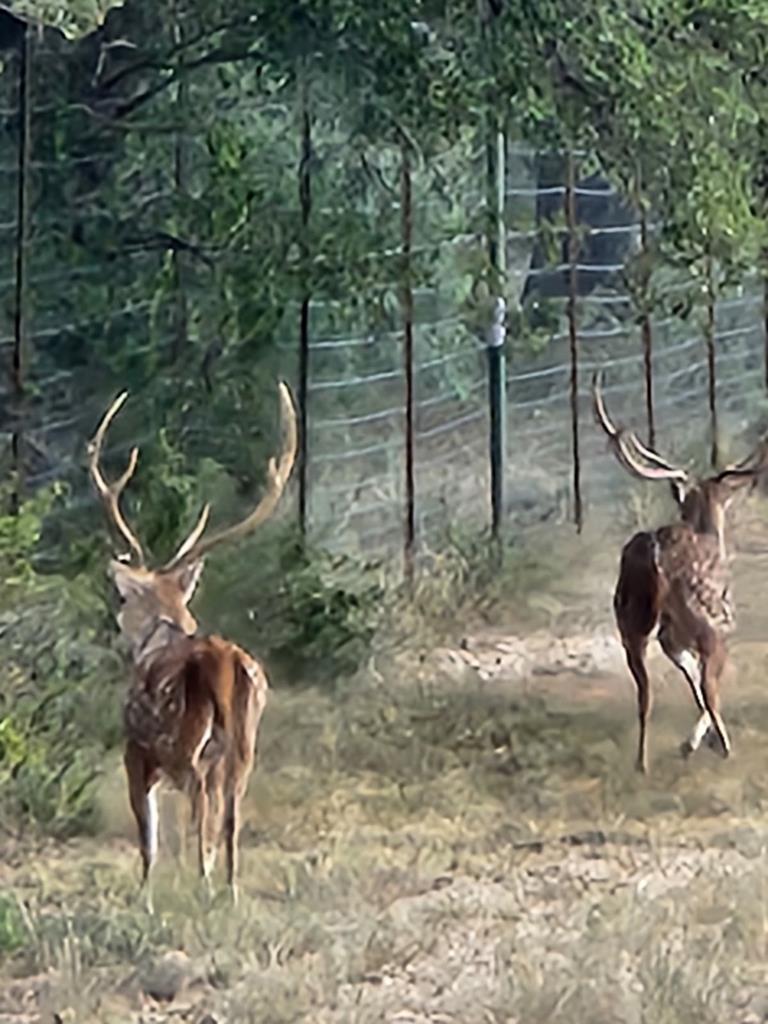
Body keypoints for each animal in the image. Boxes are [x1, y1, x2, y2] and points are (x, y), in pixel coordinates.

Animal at [87, 380, 296, 909]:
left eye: (125, 598)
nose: (118, 622)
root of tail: (225, 662)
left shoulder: (137, 753)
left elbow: (150, 839)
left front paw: (145, 897)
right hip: (244, 743)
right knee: (230, 820)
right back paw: (230, 891)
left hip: (191, 744)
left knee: (203, 815)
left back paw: (203, 887)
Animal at [593, 374, 765, 774]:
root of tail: (656, 561)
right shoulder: (711, 629)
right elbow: (703, 687)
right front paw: (701, 741)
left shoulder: (671, 639)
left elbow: (690, 681)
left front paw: (696, 741)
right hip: (709, 623)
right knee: (709, 687)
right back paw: (723, 747)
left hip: (630, 624)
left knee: (644, 693)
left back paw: (642, 762)